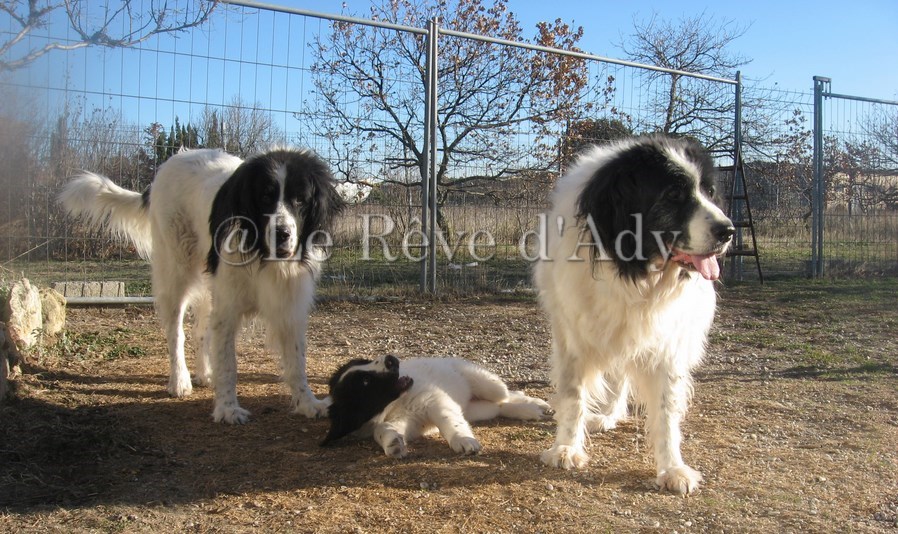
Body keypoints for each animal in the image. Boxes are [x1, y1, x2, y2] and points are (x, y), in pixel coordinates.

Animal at [59, 148, 344, 423]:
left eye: (300, 200)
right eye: (265, 196)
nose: (281, 233)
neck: (262, 254)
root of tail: (173, 160)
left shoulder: (289, 305)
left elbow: (297, 362)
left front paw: (307, 403)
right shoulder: (227, 309)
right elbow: (229, 365)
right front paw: (227, 409)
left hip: (209, 287)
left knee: (200, 331)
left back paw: (206, 373)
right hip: (176, 273)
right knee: (176, 332)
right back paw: (179, 380)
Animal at [322, 355, 551, 457]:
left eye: (366, 361)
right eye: (365, 382)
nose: (391, 358)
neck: (397, 405)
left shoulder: (438, 402)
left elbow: (450, 423)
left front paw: (463, 440)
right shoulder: (406, 422)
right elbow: (383, 428)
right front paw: (393, 442)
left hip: (488, 385)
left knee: (507, 395)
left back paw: (536, 404)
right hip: (475, 410)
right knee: (499, 407)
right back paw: (529, 411)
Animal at [533, 135, 734, 493]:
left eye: (710, 192)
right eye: (673, 194)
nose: (729, 231)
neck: (633, 271)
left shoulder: (666, 340)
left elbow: (666, 411)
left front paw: (672, 468)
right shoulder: (573, 335)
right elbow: (573, 395)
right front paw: (566, 448)